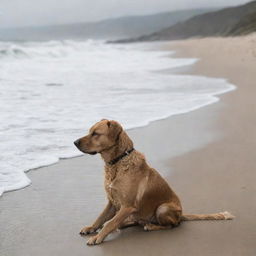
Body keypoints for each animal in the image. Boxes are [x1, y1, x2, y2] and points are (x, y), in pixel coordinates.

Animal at [74, 119, 234, 245]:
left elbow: (109, 223)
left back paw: (151, 226)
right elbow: (101, 218)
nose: (74, 142)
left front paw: (97, 237)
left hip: (163, 208)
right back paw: (128, 223)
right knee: (131, 221)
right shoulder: (112, 202)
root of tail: (181, 214)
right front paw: (91, 228)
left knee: (172, 226)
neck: (117, 162)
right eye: (90, 131)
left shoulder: (127, 205)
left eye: (96, 133)